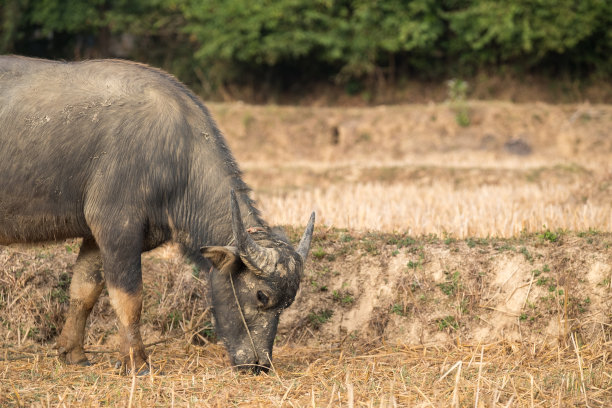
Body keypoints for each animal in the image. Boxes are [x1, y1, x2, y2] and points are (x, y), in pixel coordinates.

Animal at [0, 55, 316, 374]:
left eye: (287, 304)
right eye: (261, 295)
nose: (259, 365)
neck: (177, 158)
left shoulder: (96, 237)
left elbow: (84, 290)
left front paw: (72, 352)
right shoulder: (117, 227)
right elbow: (129, 298)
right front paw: (136, 361)